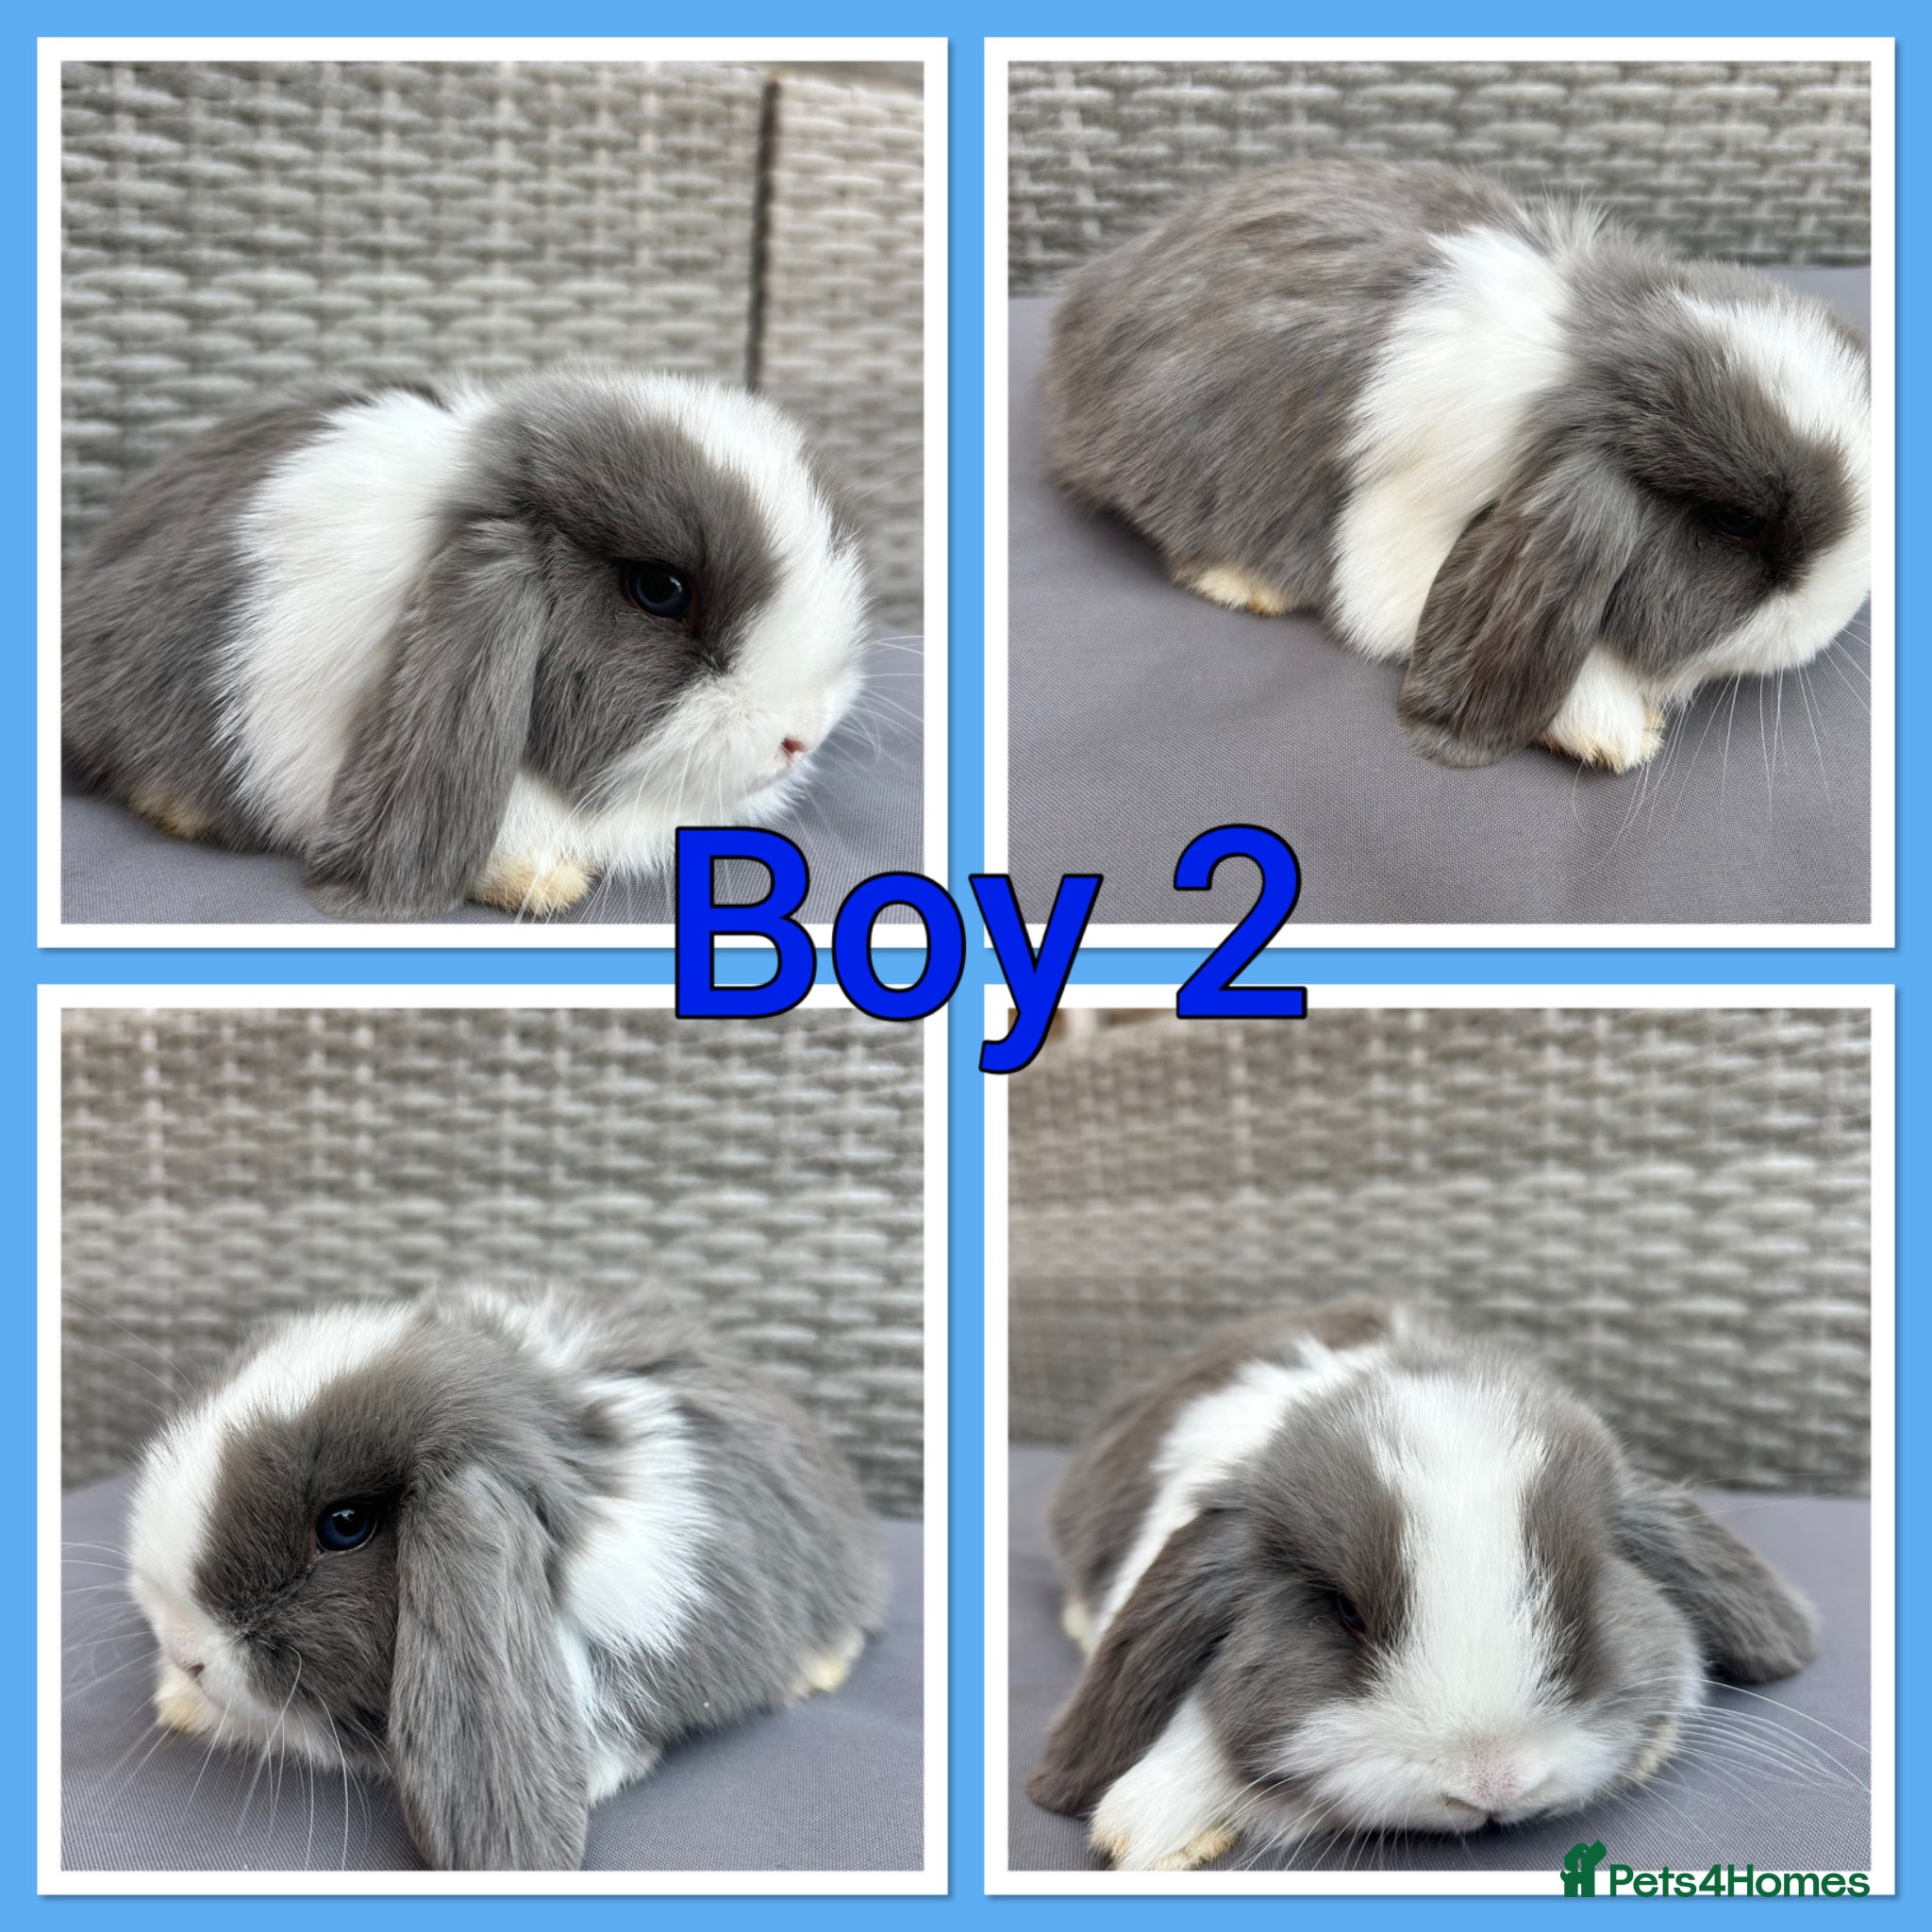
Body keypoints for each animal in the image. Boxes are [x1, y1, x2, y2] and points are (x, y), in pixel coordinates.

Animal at [1044, 158, 1871, 773]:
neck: (1576, 373)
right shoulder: (1395, 554)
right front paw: (1614, 730)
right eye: (1732, 523)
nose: (1828, 623)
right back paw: (1245, 583)